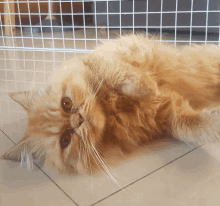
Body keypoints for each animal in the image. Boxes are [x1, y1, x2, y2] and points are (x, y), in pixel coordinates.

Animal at [2, 33, 220, 175]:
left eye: (66, 103)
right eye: (65, 139)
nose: (79, 119)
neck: (112, 111)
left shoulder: (103, 57)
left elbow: (115, 71)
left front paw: (147, 85)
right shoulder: (167, 118)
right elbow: (194, 127)